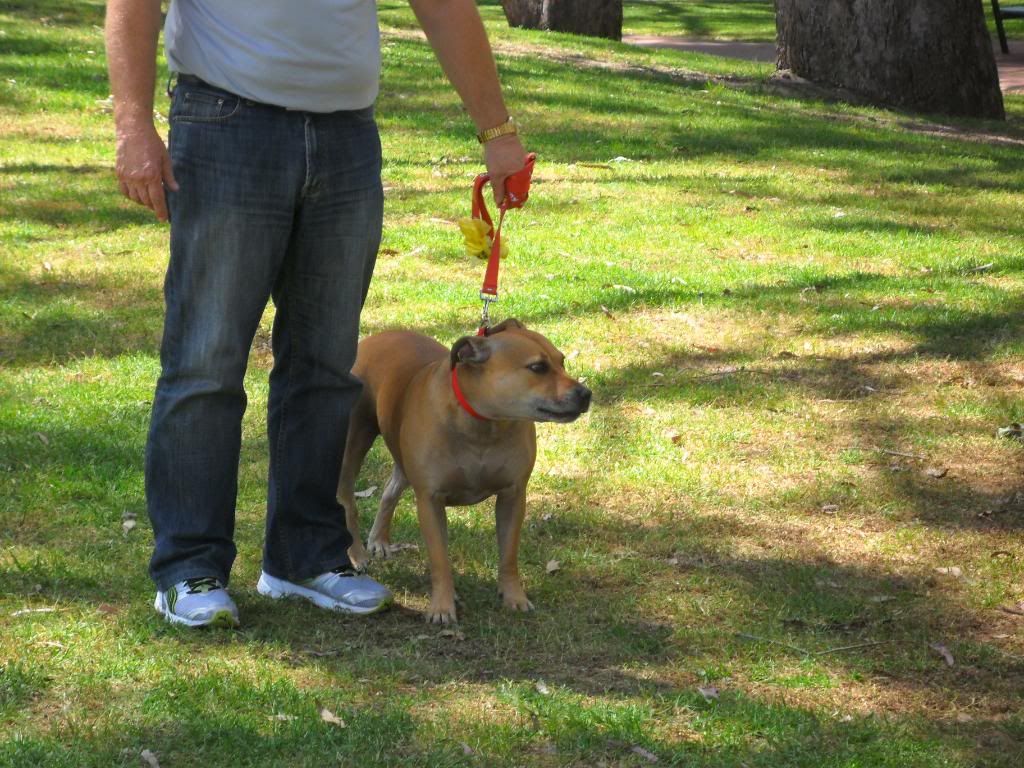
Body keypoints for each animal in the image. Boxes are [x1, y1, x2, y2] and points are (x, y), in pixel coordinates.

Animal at [337, 319, 593, 626]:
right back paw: (357, 554)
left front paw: (514, 597)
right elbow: (440, 560)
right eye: (538, 367)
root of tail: (374, 339)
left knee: (390, 490)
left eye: (561, 361)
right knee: (347, 500)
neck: (482, 423)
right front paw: (442, 606)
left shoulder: (513, 496)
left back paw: (379, 539)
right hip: (353, 445)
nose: (585, 394)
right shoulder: (430, 501)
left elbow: (509, 554)